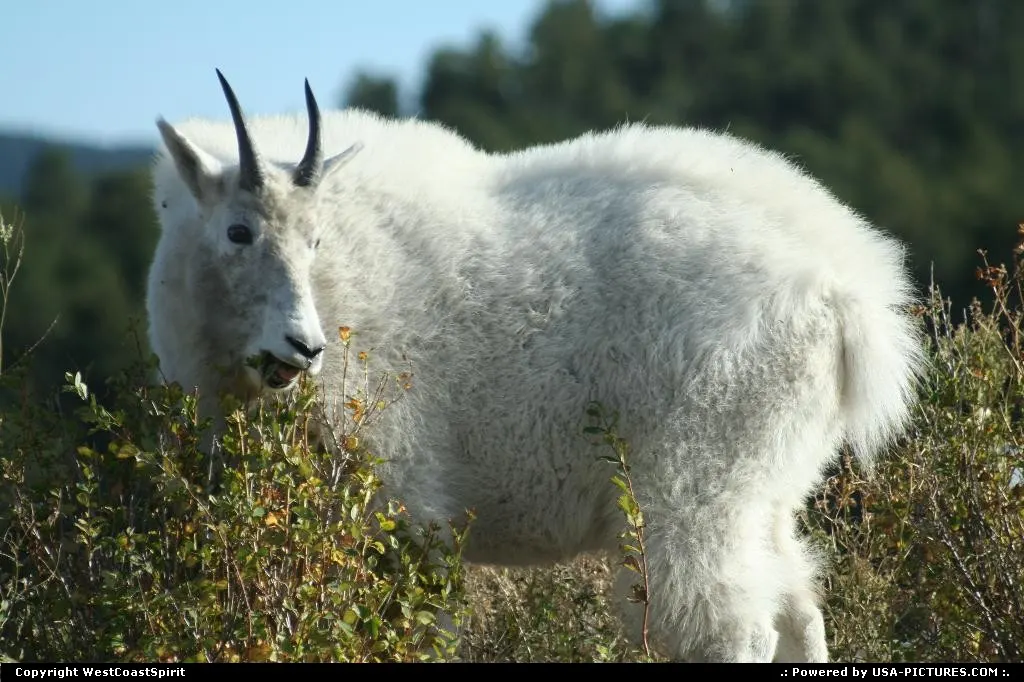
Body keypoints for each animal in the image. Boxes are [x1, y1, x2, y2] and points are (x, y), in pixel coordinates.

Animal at [147, 70, 924, 662]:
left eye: (314, 239)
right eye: (238, 231)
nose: (303, 347)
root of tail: (844, 290)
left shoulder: (402, 502)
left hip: (697, 480)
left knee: (733, 628)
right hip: (769, 485)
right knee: (799, 609)